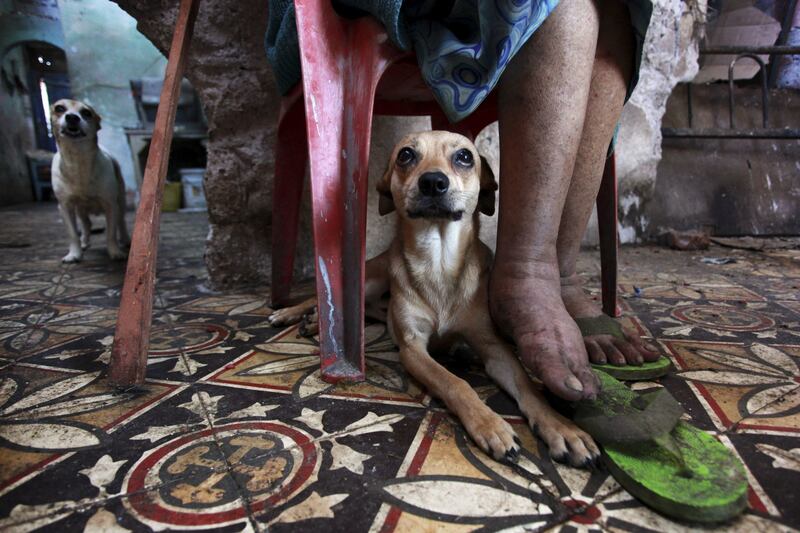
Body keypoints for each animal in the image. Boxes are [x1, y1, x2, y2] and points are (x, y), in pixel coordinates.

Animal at [50, 98, 130, 262]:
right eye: (59, 108)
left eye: (86, 113)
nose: (72, 117)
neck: (78, 161)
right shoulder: (65, 206)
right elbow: (73, 234)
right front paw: (74, 253)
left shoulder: (110, 204)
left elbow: (111, 232)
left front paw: (114, 251)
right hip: (80, 209)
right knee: (87, 224)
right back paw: (84, 242)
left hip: (121, 200)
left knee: (121, 221)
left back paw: (125, 240)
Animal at [272, 131, 596, 464]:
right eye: (405, 155)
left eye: (465, 157)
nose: (432, 182)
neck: (438, 261)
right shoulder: (413, 349)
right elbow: (454, 382)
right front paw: (490, 423)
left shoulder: (494, 347)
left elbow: (527, 385)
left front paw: (561, 426)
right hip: (372, 277)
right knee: (334, 303)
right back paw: (295, 315)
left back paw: (313, 322)